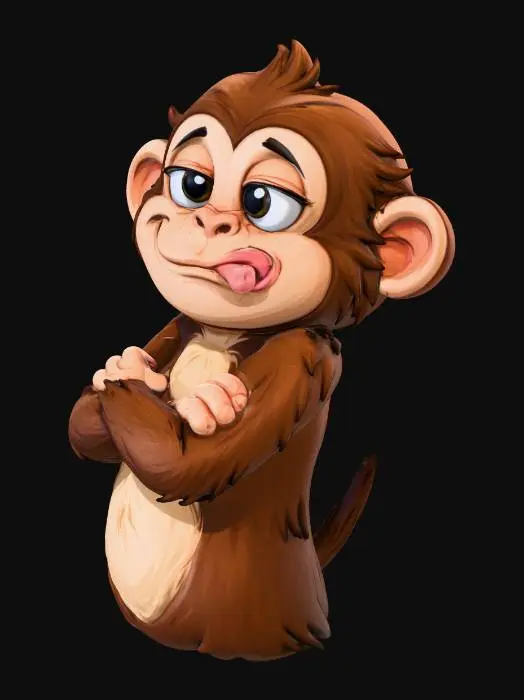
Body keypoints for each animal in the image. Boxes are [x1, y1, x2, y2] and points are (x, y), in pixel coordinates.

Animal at [68, 40, 455, 662]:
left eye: (262, 202)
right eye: (191, 184)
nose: (210, 220)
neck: (222, 335)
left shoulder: (306, 356)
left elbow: (185, 463)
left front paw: (195, 403)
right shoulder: (179, 324)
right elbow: (85, 419)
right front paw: (120, 374)